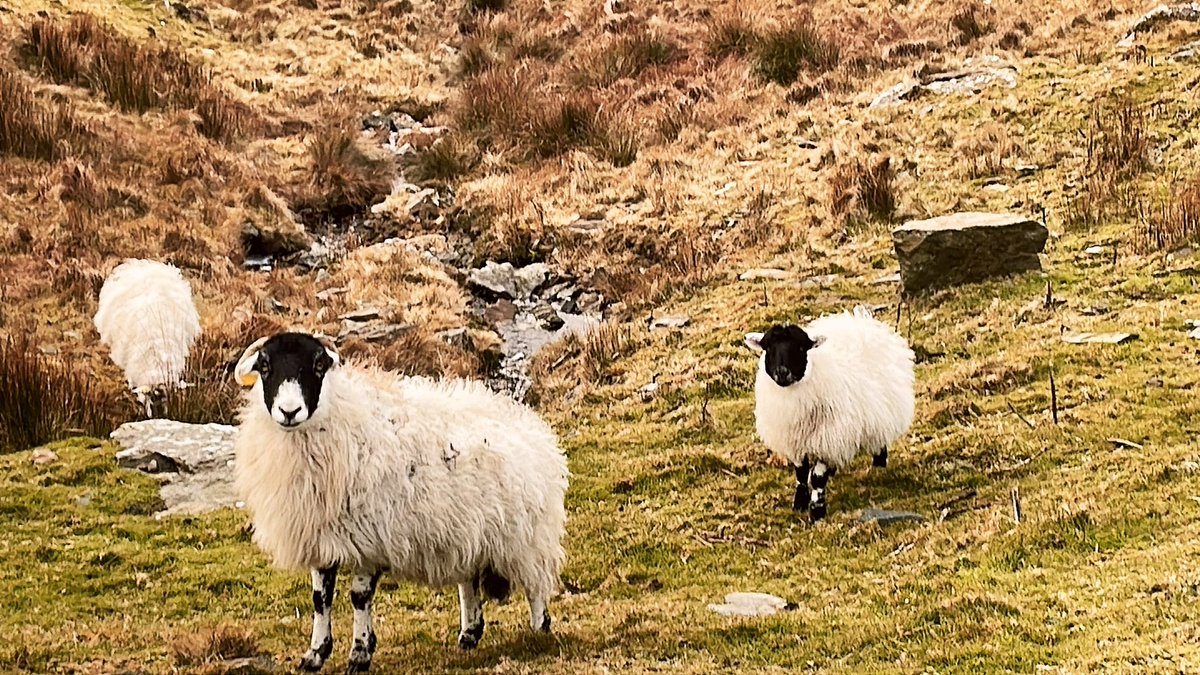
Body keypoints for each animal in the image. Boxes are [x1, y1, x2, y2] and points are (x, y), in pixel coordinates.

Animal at [234, 331, 571, 672]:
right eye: (265, 367)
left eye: (318, 366)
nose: (289, 411)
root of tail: (531, 424)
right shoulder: (324, 537)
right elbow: (320, 600)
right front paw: (315, 655)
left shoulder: (369, 540)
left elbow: (359, 598)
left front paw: (360, 654)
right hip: (470, 534)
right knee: (469, 583)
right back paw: (469, 635)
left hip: (526, 537)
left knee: (536, 585)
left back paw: (538, 630)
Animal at [739, 303, 916, 521]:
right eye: (768, 347)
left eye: (800, 347)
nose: (782, 373)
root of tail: (858, 322)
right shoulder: (796, 441)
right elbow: (801, 473)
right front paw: (800, 502)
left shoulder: (829, 438)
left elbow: (817, 477)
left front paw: (817, 511)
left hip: (881, 410)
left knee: (879, 439)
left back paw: (879, 467)